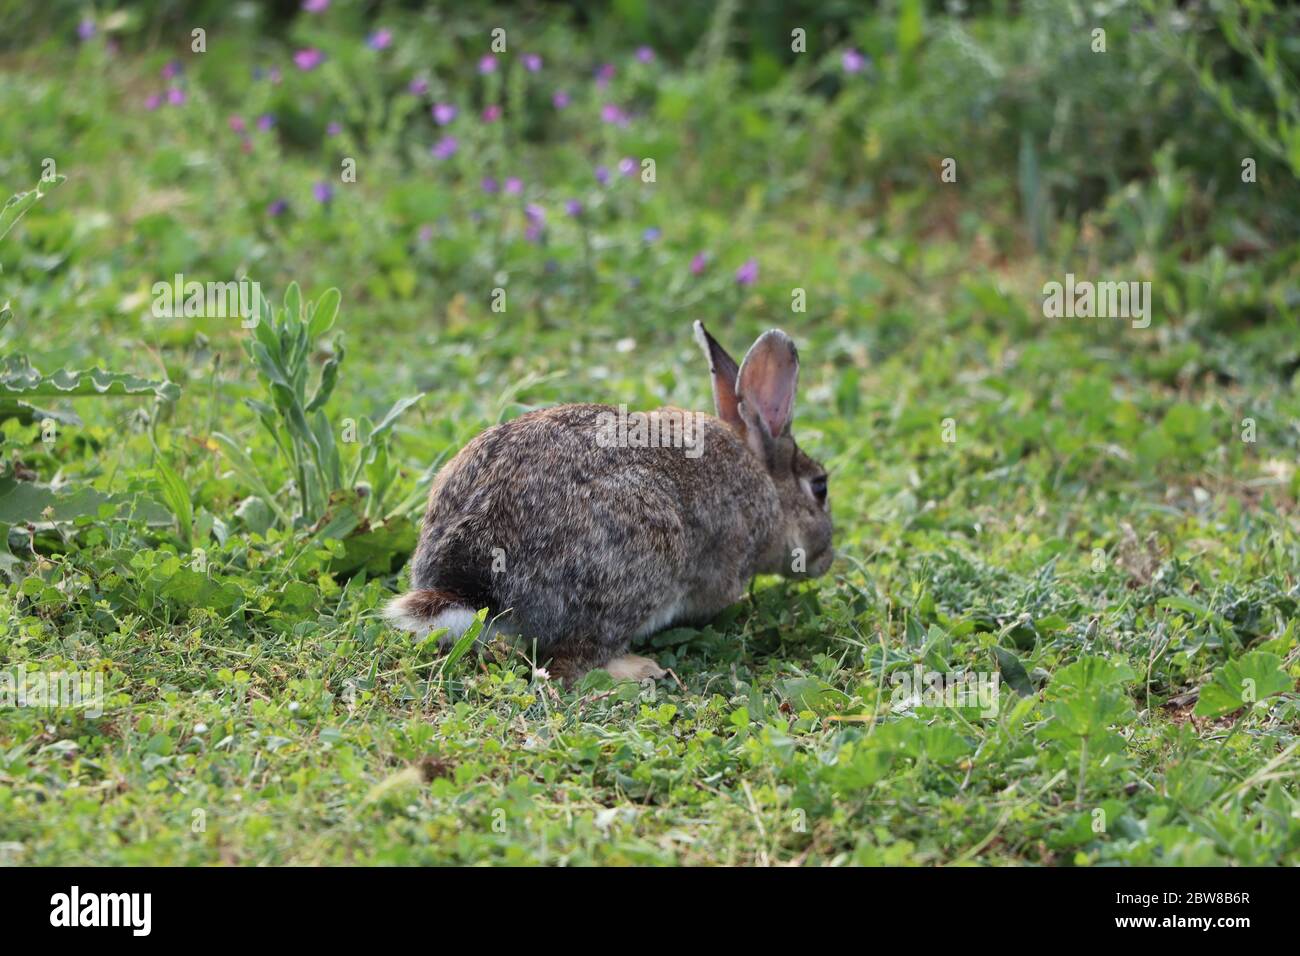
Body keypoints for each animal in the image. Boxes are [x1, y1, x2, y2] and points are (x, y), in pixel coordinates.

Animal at [383, 321, 833, 685]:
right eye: (821, 488)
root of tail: (473, 579)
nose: (826, 560)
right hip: (644, 561)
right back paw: (638, 670)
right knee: (566, 664)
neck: (768, 487)